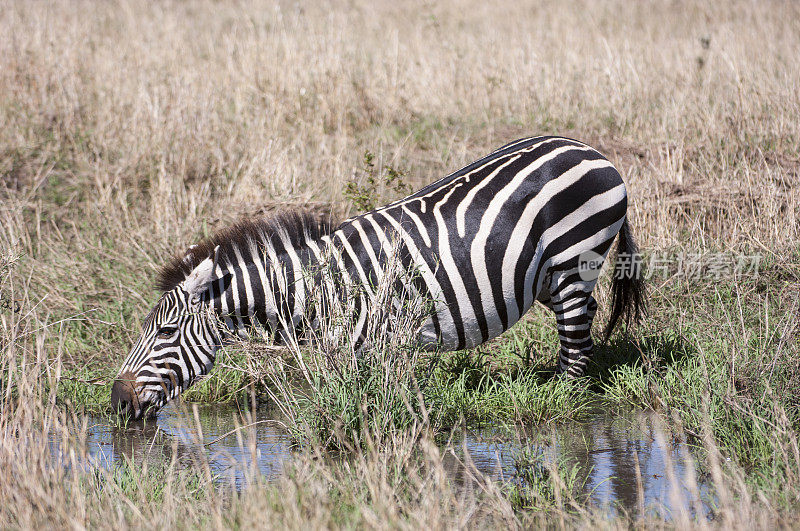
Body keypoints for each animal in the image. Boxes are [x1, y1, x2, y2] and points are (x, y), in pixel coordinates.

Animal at [112, 137, 644, 420]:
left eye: (165, 332)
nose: (117, 401)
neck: (318, 288)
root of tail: (588, 149)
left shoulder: (375, 343)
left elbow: (371, 407)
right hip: (551, 276)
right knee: (585, 318)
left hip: (575, 257)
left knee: (576, 339)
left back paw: (565, 399)